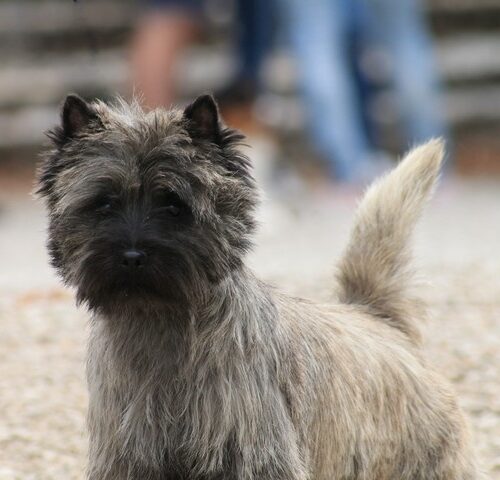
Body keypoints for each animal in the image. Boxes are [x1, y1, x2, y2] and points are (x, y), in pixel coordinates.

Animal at [36, 94, 480, 480]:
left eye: (174, 205)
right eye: (103, 202)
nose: (131, 255)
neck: (161, 331)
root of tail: (375, 315)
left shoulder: (255, 456)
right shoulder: (127, 458)